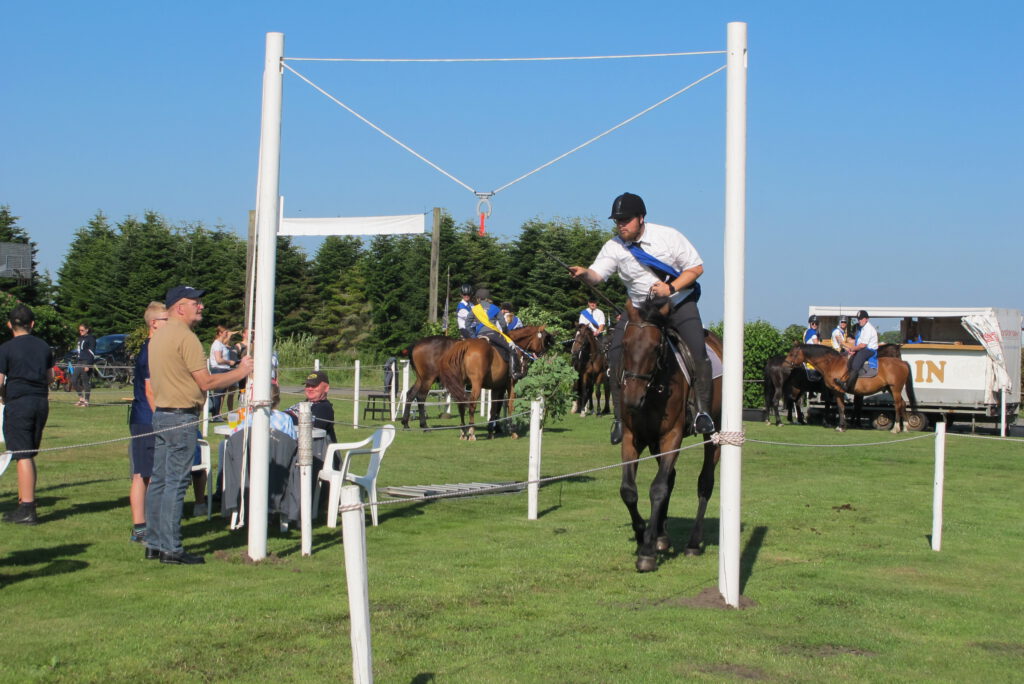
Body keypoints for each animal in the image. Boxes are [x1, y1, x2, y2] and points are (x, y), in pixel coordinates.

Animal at [617, 298, 722, 573]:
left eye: (656, 348)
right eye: (625, 344)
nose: (632, 398)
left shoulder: (671, 437)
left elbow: (658, 488)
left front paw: (646, 552)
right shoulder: (633, 438)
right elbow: (629, 490)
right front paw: (643, 535)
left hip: (714, 433)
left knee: (705, 482)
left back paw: (693, 543)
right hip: (654, 444)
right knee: (671, 477)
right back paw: (661, 537)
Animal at [784, 344, 918, 433]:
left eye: (792, 354)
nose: (786, 366)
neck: (832, 364)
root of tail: (902, 363)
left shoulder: (839, 391)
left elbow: (844, 408)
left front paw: (843, 426)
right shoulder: (838, 392)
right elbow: (843, 407)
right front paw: (843, 425)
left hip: (895, 389)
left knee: (898, 405)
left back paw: (896, 428)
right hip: (891, 389)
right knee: (903, 404)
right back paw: (905, 427)